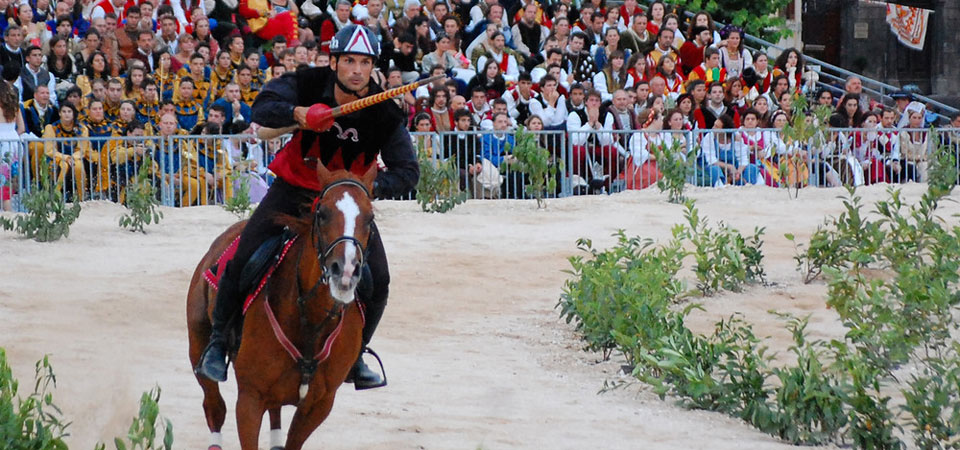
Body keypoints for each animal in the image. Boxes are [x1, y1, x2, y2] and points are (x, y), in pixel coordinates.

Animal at [188, 163, 378, 448]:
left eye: (370, 219)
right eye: (322, 214)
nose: (345, 272)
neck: (309, 319)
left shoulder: (319, 405)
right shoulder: (250, 399)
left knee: (274, 411)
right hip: (198, 344)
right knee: (214, 407)